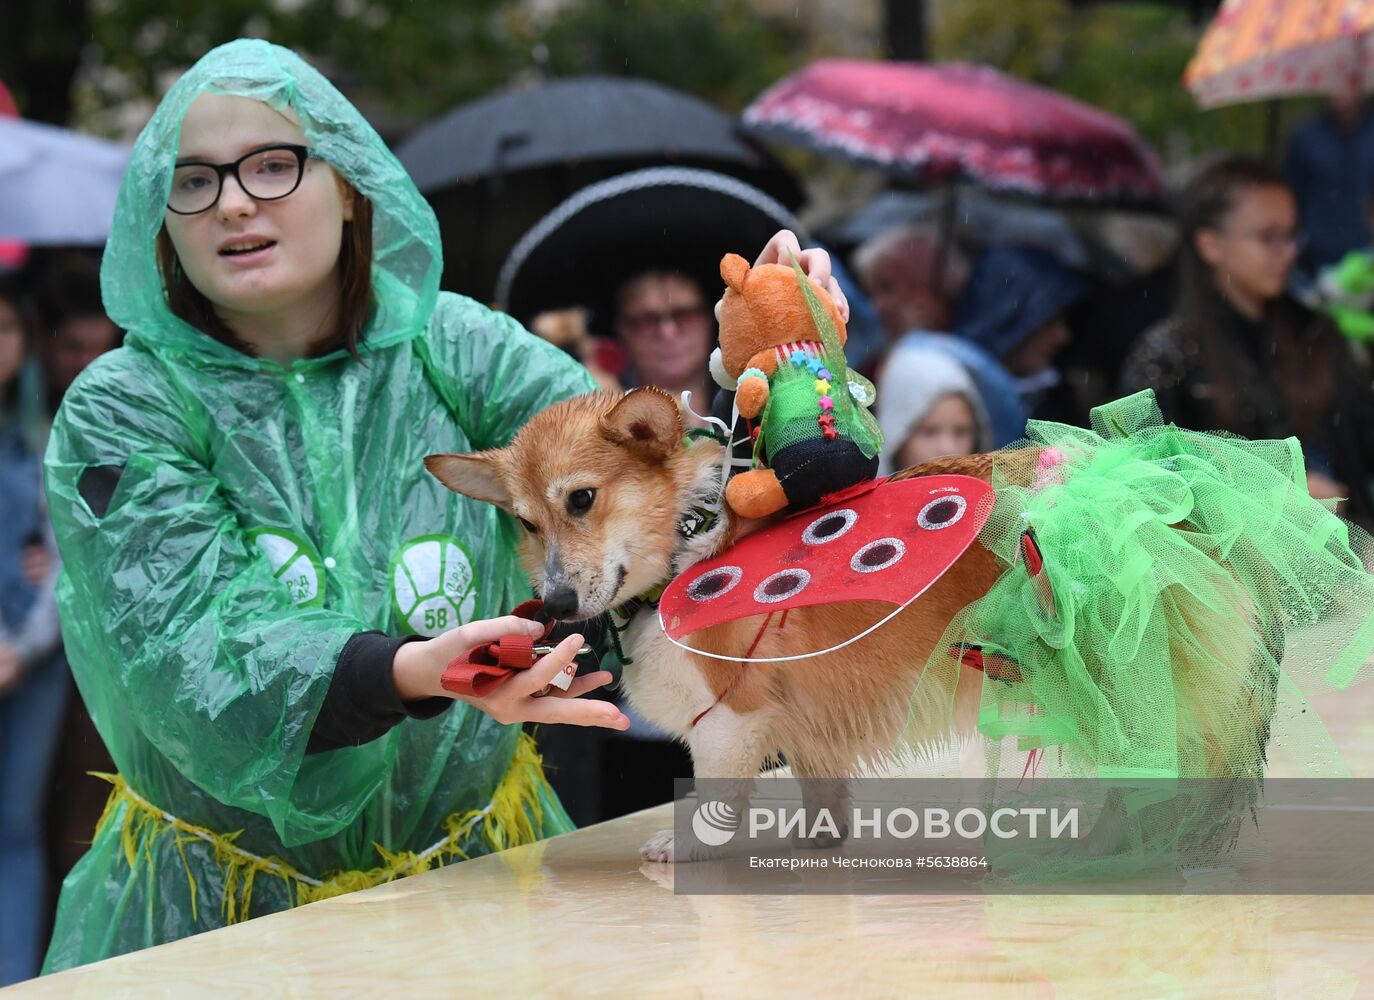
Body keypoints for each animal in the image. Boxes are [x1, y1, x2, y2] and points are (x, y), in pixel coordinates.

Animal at [425, 387, 1264, 862]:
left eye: (583, 500)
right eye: (525, 522)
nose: (559, 606)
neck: (687, 540)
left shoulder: (729, 721)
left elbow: (717, 797)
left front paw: (691, 846)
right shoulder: (802, 725)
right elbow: (821, 787)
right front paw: (819, 839)